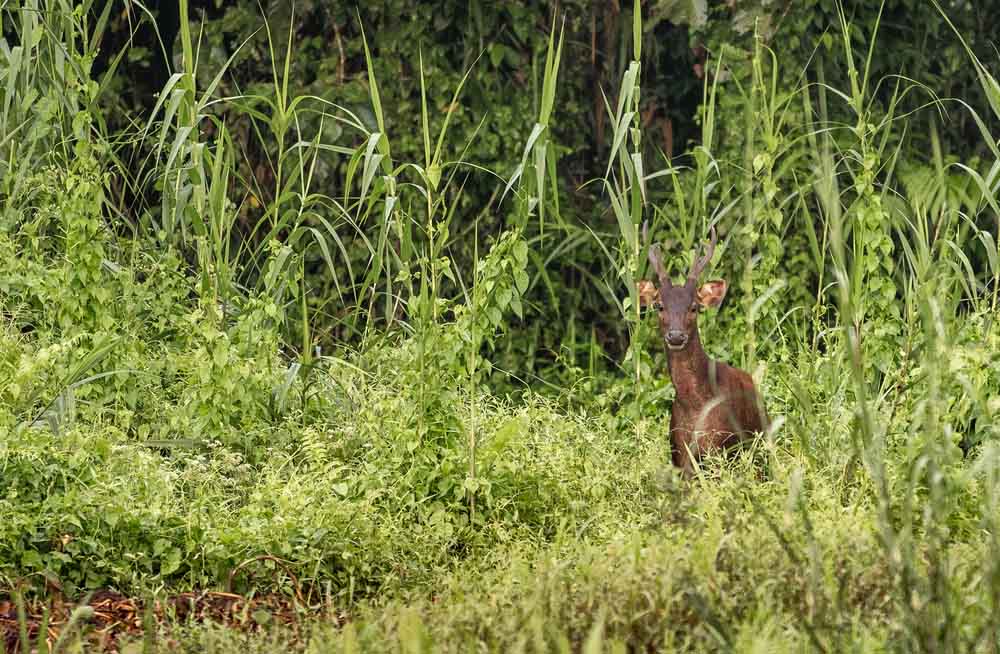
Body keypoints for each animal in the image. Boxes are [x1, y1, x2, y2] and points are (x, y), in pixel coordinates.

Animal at [636, 226, 768, 476]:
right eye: (659, 306)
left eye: (694, 307)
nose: (676, 336)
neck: (695, 406)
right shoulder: (679, 454)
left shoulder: (721, 447)